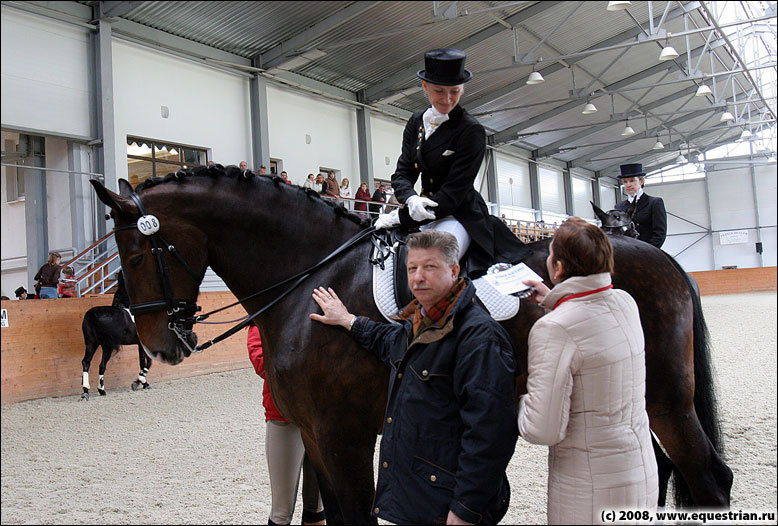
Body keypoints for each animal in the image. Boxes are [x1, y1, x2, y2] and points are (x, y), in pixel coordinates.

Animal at [88, 168, 732, 524]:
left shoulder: (344, 436)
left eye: (137, 256)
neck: (309, 281)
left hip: (665, 395)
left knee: (708, 477)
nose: (159, 346)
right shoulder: (316, 438)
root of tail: (662, 259)